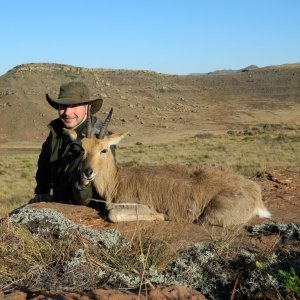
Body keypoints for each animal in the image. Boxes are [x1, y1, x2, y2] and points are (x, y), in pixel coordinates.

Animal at [64, 109, 270, 226]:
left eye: (104, 149)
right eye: (82, 148)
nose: (87, 172)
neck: (117, 180)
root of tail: (255, 191)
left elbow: (114, 214)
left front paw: (162, 215)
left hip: (210, 217)